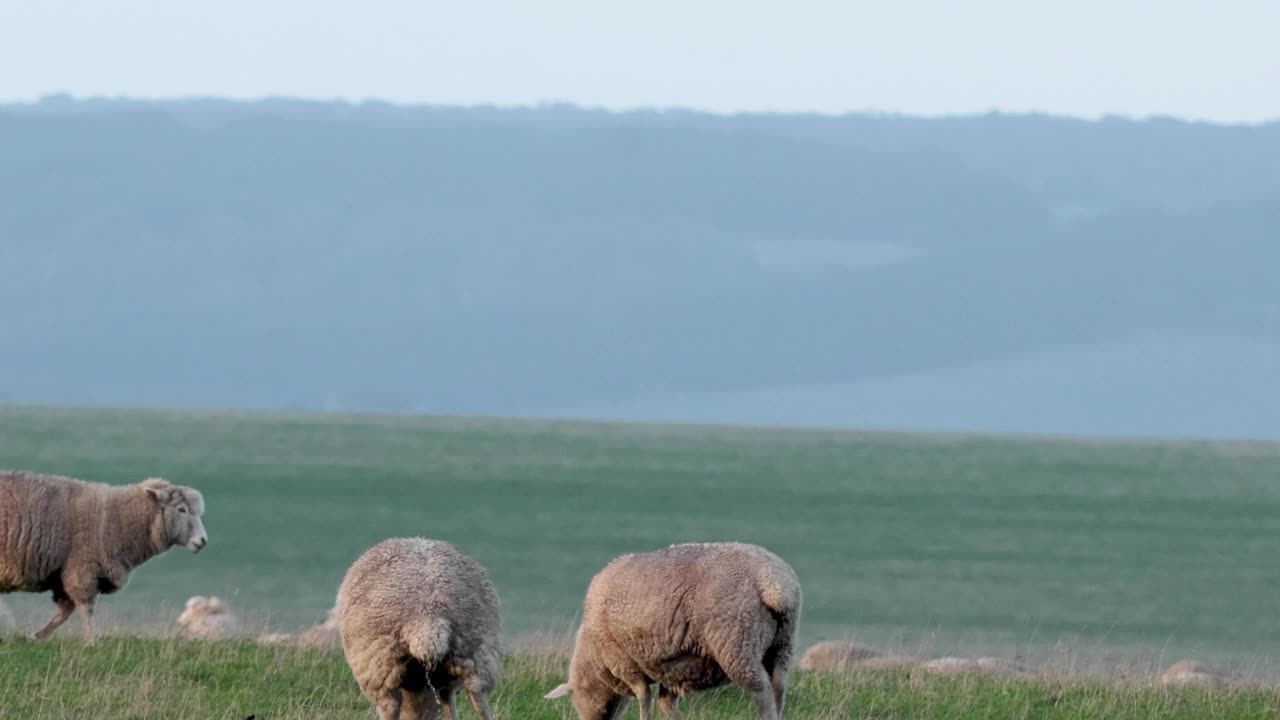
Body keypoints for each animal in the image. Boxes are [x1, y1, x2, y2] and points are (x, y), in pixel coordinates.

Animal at [0, 468, 208, 640]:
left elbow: (65, 611)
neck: (116, 518)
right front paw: (91, 641)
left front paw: (36, 637)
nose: (203, 541)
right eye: (181, 510)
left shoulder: (64, 574)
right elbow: (86, 608)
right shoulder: (82, 570)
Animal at [337, 538, 501, 717]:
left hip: (378, 665)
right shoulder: (444, 683)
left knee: (389, 707)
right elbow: (449, 704)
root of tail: (428, 615)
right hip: (476, 656)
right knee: (480, 702)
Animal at [542, 538, 798, 717]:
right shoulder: (674, 668)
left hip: (737, 642)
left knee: (761, 690)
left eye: (576, 702)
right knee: (778, 687)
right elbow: (666, 703)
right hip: (781, 644)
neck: (593, 657)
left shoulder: (625, 663)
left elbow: (644, 698)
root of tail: (773, 581)